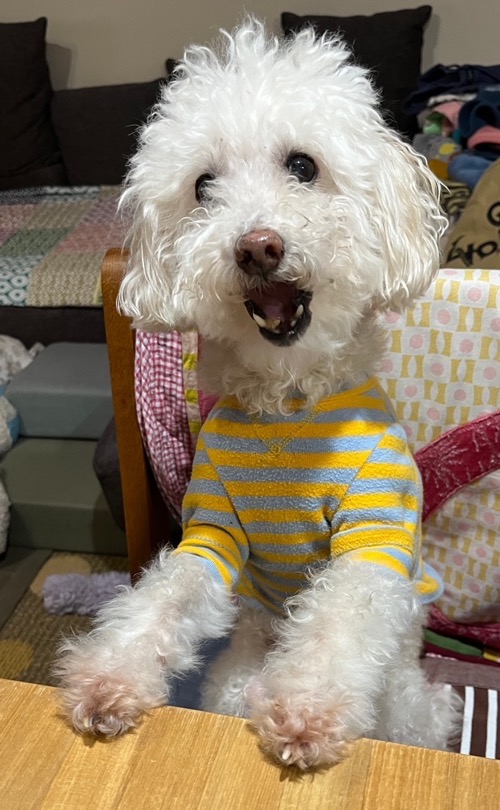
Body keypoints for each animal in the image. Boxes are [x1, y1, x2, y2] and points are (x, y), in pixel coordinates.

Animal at [57, 19, 462, 770]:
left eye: (303, 166)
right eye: (203, 186)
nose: (257, 247)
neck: (287, 403)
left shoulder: (373, 535)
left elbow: (339, 618)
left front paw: (306, 709)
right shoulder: (213, 529)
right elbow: (166, 596)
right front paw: (109, 676)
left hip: (403, 698)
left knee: (418, 712)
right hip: (235, 668)